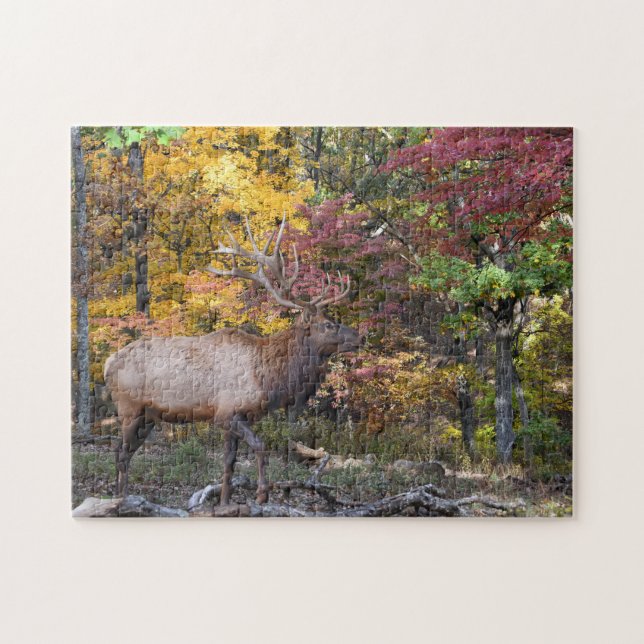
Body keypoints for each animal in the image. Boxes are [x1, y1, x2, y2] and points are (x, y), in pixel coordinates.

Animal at [104, 214, 361, 505]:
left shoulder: (235, 418)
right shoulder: (227, 412)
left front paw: (225, 501)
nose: (359, 336)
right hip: (129, 407)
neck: (268, 378)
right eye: (328, 325)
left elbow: (229, 464)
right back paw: (120, 499)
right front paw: (262, 494)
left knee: (125, 452)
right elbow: (261, 446)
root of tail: (108, 363)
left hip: (148, 416)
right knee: (120, 452)